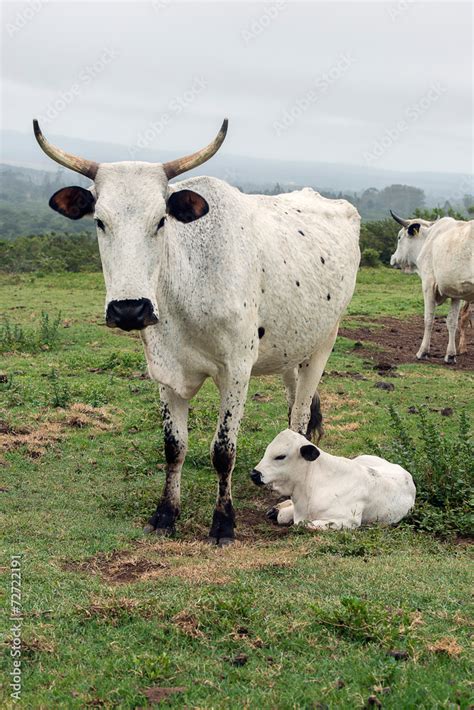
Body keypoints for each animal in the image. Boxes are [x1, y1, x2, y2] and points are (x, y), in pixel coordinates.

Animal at [34, 119, 360, 548]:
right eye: (100, 221)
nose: (129, 309)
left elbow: (223, 450)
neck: (188, 284)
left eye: (161, 220)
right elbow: (174, 446)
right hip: (291, 347)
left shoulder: (237, 370)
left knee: (302, 415)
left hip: (322, 344)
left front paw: (223, 523)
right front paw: (165, 514)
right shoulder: (165, 370)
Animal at [390, 210, 472, 368]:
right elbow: (452, 322)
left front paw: (423, 352)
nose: (393, 258)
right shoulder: (456, 293)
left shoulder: (428, 285)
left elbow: (429, 319)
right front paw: (450, 355)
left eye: (399, 237)